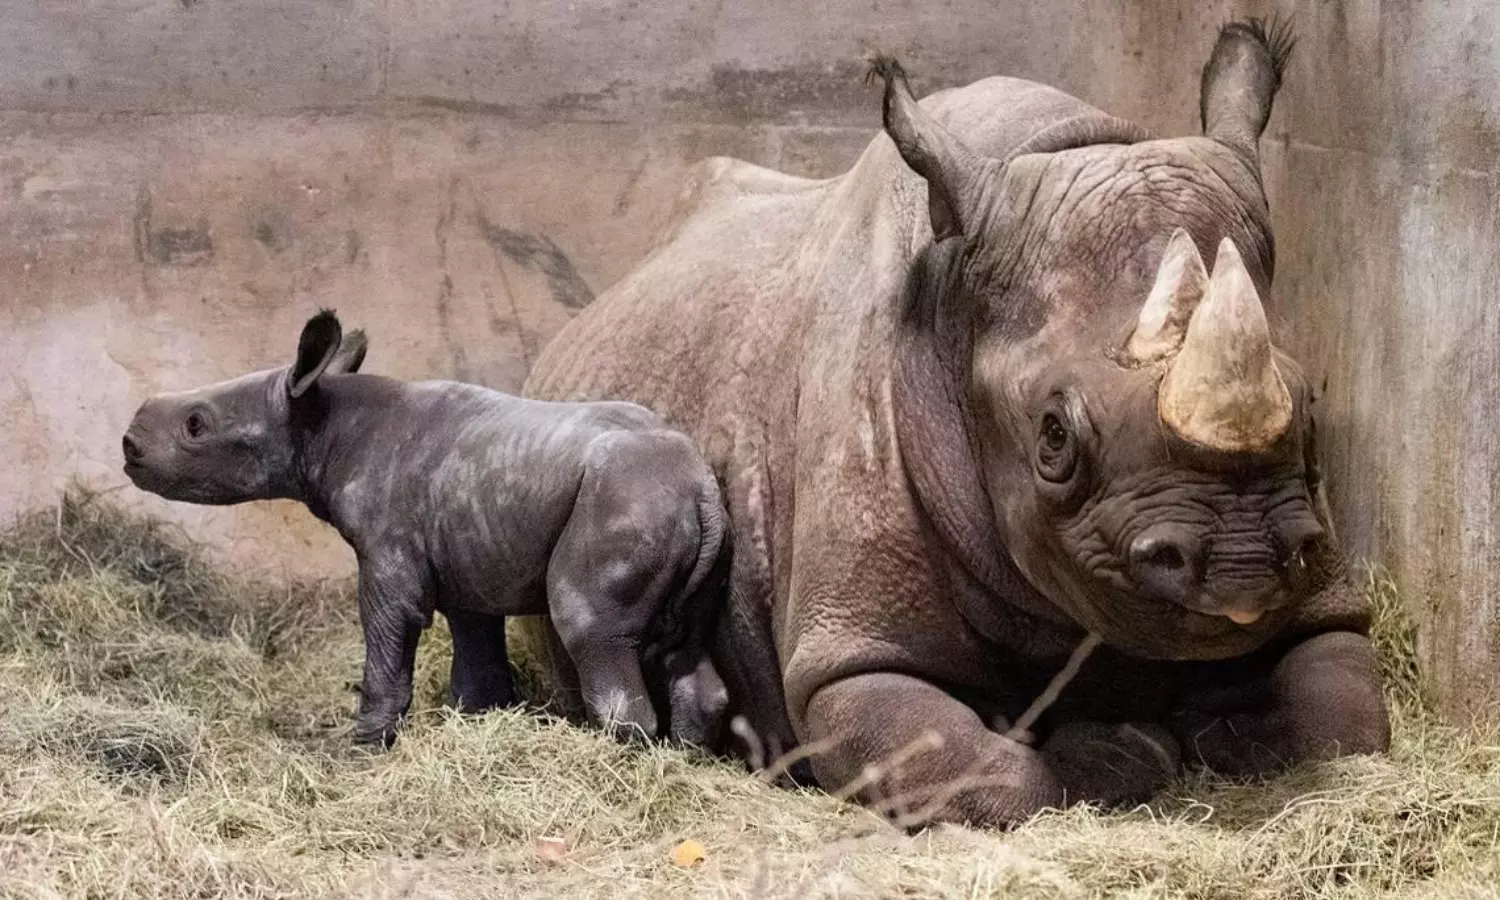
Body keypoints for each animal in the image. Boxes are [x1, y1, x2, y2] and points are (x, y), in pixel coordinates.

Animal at [121, 311, 730, 748]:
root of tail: (700, 486)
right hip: (677, 513)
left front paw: (362, 747)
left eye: (196, 426)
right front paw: (475, 718)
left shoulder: (390, 548)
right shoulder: (466, 551)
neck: (319, 423)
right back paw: (685, 756)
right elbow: (475, 642)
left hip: (625, 498)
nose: (128, 446)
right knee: (686, 641)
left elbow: (387, 634)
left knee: (589, 626)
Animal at [521, 20, 1390, 825]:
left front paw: (1217, 734)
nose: (1240, 565)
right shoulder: (849, 658)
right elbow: (990, 777)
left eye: (1312, 408)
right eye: (1054, 437)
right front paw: (1122, 753)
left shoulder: (1321, 597)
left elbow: (1345, 718)